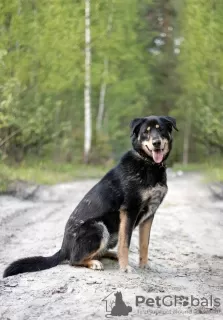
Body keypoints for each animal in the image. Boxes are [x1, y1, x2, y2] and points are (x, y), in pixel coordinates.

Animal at [3, 115, 178, 278]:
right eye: (145, 132)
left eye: (161, 129)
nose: (156, 143)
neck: (149, 164)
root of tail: (63, 248)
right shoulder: (129, 210)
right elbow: (125, 244)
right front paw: (125, 267)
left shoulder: (149, 214)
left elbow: (144, 244)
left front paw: (144, 265)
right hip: (99, 227)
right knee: (74, 260)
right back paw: (94, 262)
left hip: (111, 234)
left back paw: (110, 256)